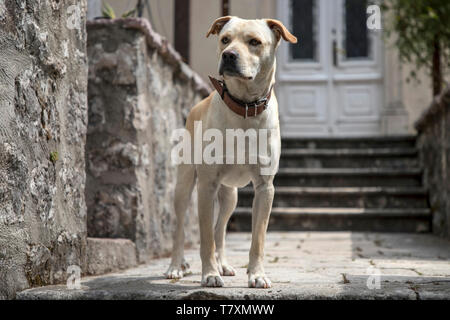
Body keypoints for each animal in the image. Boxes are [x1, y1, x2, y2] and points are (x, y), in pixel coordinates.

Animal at [163, 16, 298, 288]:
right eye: (225, 39)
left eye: (254, 42)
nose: (228, 55)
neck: (244, 107)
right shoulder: (206, 186)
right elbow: (205, 237)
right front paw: (209, 274)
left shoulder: (265, 188)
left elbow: (257, 239)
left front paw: (257, 275)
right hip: (184, 186)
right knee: (180, 228)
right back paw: (175, 266)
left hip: (230, 197)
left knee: (220, 229)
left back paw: (223, 264)